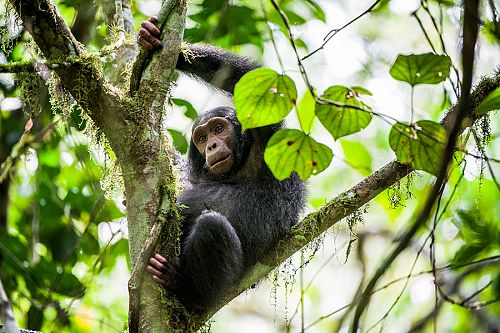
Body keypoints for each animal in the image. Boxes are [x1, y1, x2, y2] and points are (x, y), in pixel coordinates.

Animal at [139, 16, 306, 312]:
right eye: (202, 137)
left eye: (218, 129)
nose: (212, 146)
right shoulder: (188, 171)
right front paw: (149, 36)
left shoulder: (268, 138)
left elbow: (252, 81)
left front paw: (176, 53)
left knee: (212, 226)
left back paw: (183, 287)